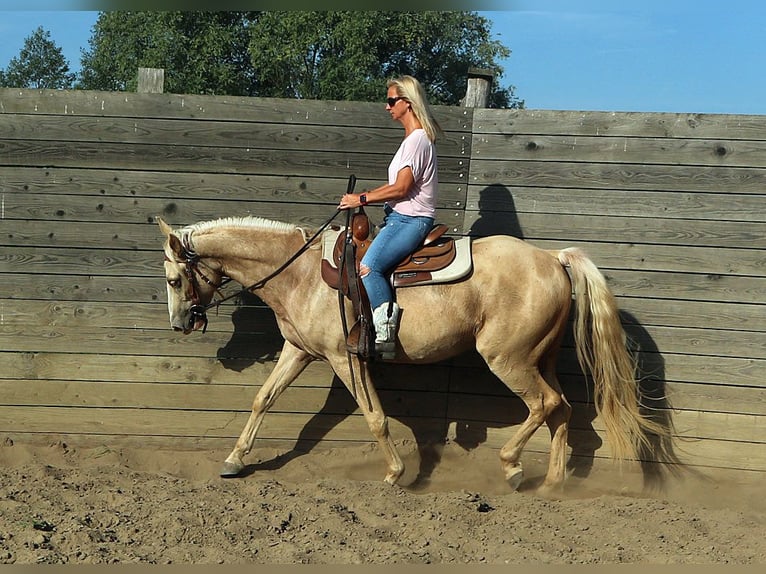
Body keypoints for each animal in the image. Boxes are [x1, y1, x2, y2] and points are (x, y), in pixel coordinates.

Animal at [159, 214, 668, 498]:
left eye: (172, 279)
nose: (180, 323)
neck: (300, 272)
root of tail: (552, 258)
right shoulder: (299, 351)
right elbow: (263, 398)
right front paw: (234, 460)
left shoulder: (346, 360)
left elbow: (376, 418)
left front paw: (395, 473)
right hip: (538, 358)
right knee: (561, 409)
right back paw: (553, 484)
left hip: (508, 358)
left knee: (544, 404)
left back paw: (512, 467)